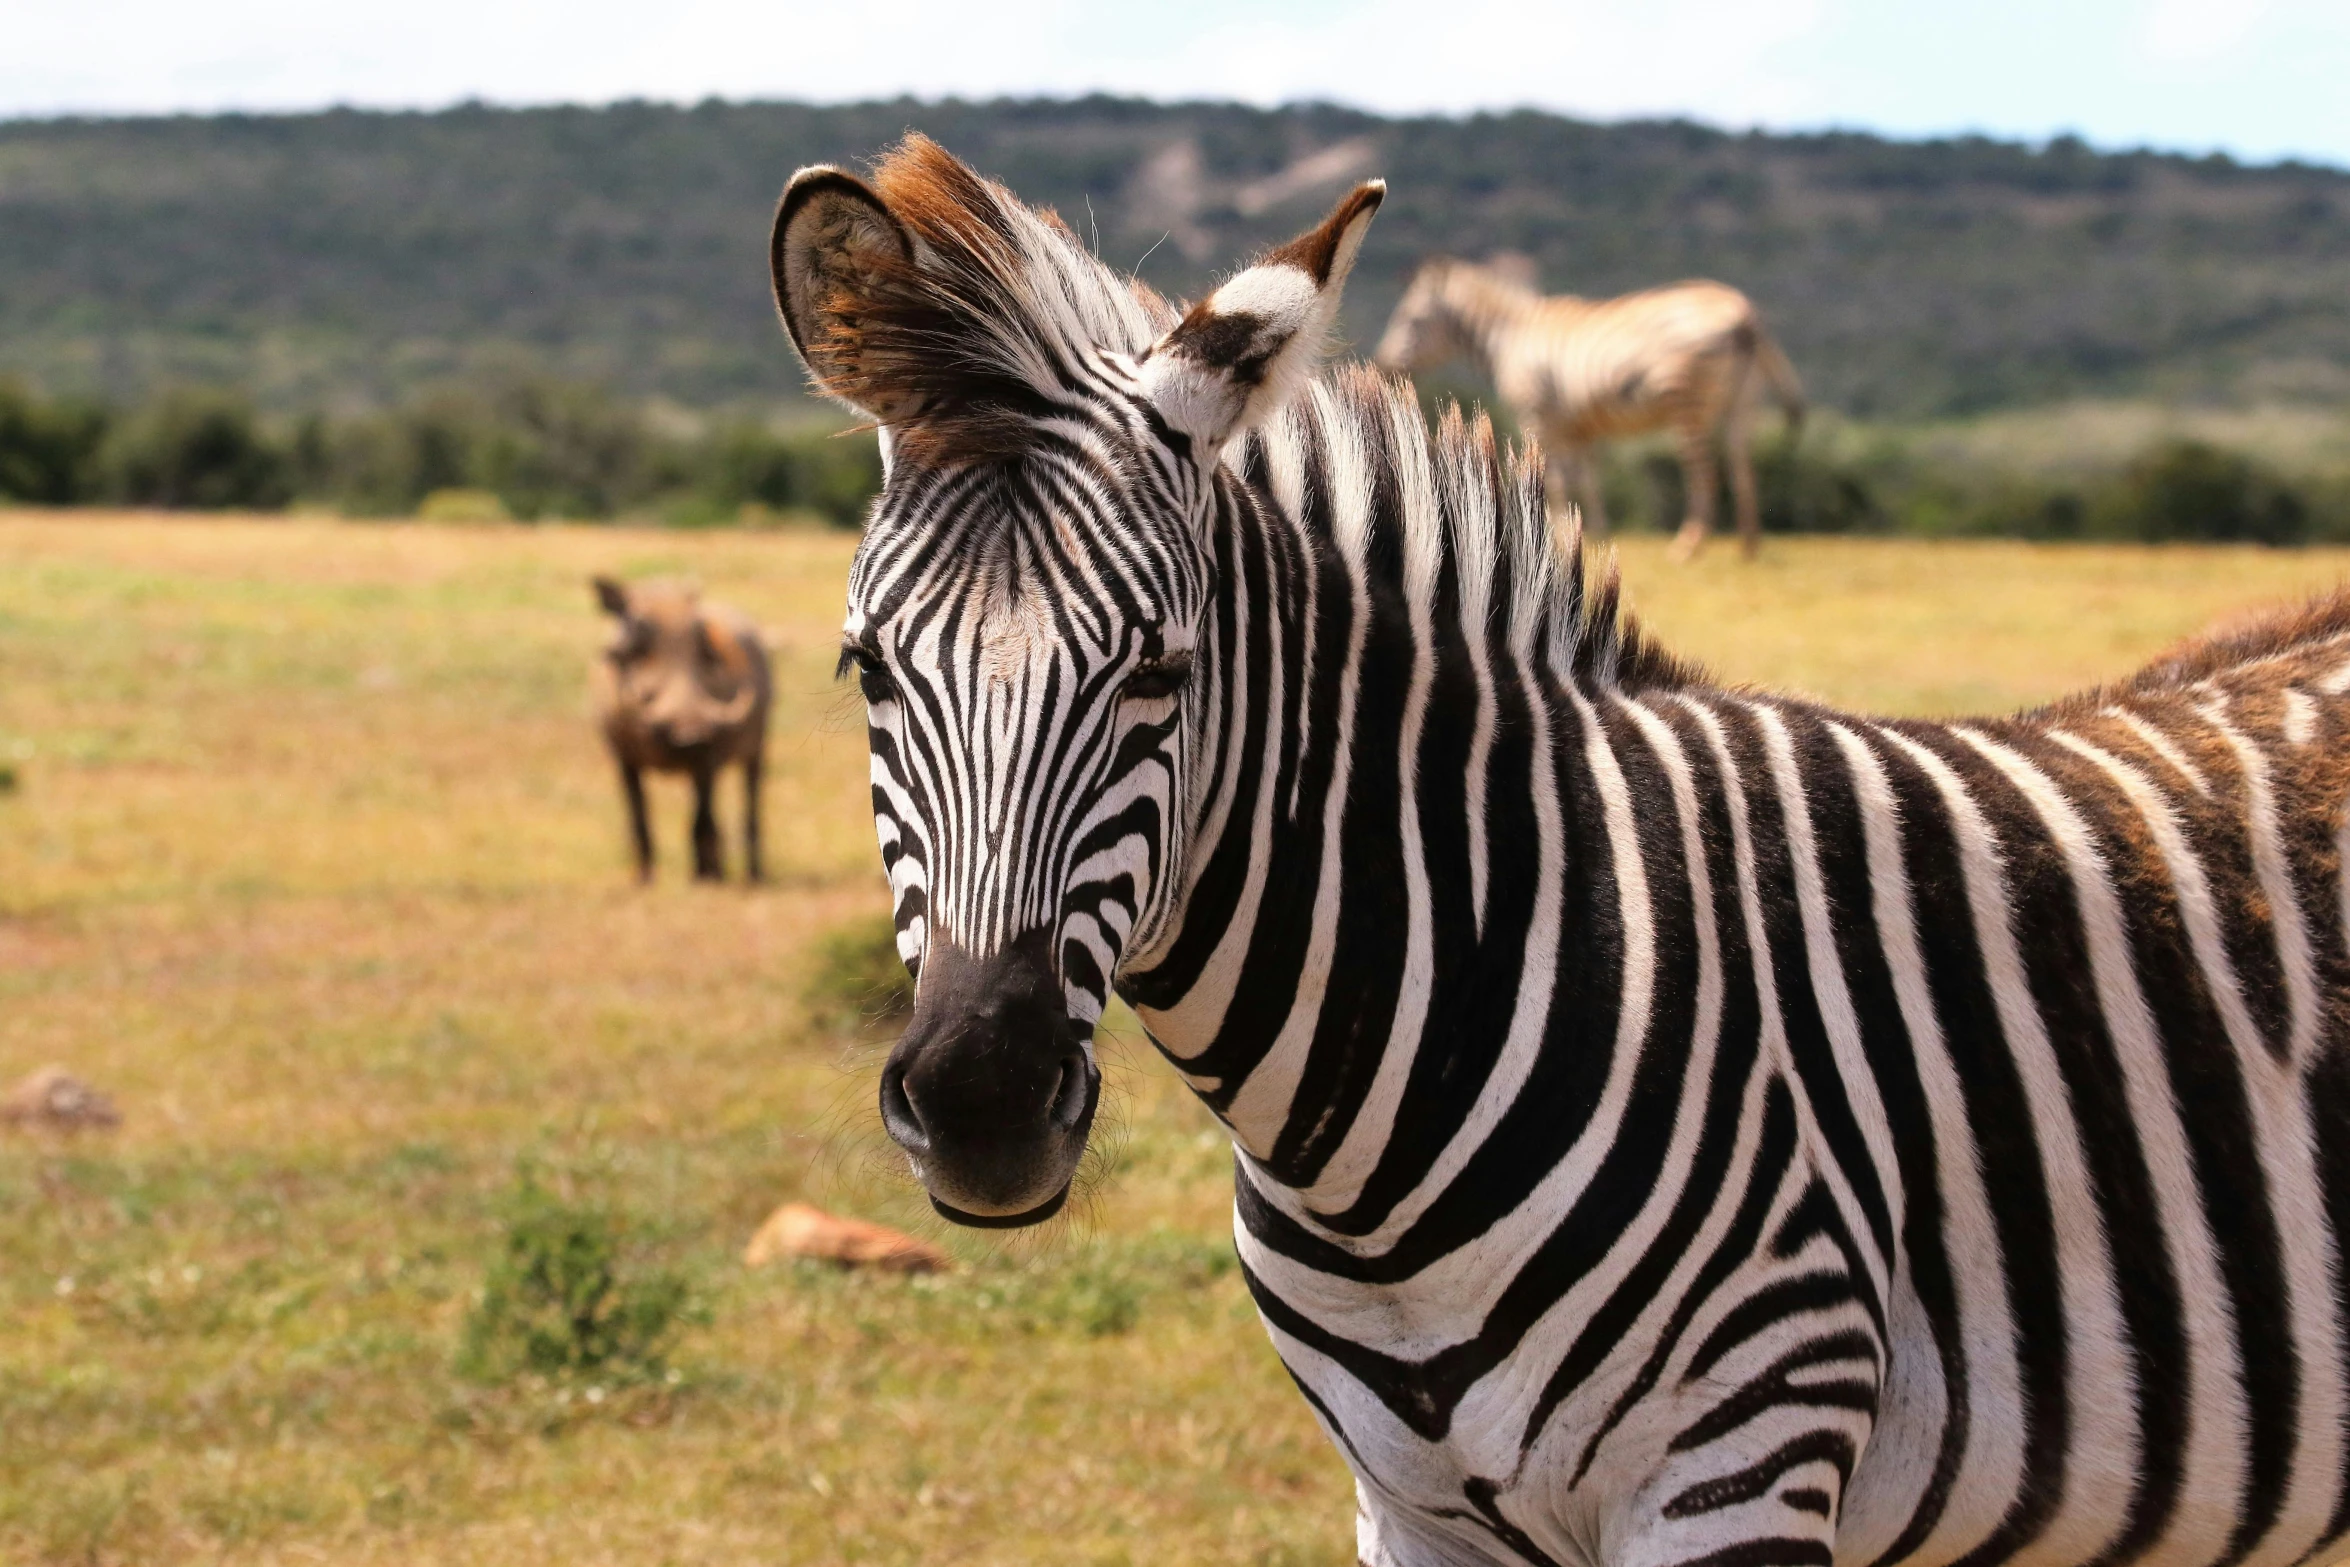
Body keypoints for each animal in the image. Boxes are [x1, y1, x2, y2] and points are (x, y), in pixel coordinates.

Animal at [1372, 260, 1804, 566]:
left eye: (1410, 319)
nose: (1383, 364)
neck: (1509, 338)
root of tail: (1744, 314)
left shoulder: (1539, 417)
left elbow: (1556, 480)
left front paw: (1556, 537)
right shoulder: (1578, 428)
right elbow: (1588, 481)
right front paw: (1593, 534)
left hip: (1687, 404)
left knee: (1705, 473)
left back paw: (1688, 546)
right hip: (1741, 405)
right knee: (1742, 467)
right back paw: (1749, 546)